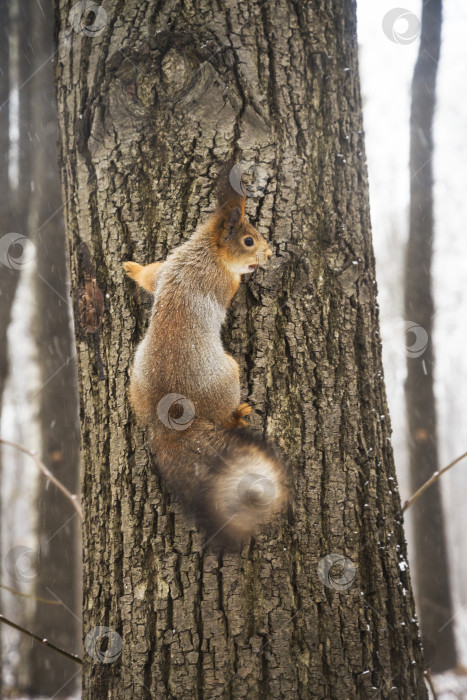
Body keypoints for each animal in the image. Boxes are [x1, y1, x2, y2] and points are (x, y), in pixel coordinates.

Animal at [122, 165, 288, 548]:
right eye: (249, 241)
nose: (269, 254)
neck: (205, 250)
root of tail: (171, 418)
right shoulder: (220, 281)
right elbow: (232, 286)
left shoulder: (168, 265)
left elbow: (150, 276)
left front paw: (132, 267)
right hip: (227, 375)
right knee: (223, 417)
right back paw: (238, 415)